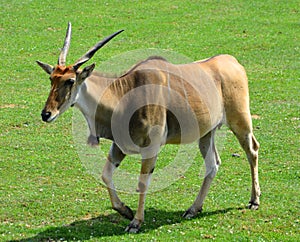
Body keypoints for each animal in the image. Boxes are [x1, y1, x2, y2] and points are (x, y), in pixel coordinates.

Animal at [37, 22, 260, 233]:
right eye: (51, 78)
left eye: (70, 80)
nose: (46, 114)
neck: (125, 93)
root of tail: (233, 62)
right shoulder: (119, 146)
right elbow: (106, 174)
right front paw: (125, 210)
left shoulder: (151, 148)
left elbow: (142, 182)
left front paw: (136, 222)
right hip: (206, 133)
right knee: (213, 165)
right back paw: (193, 209)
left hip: (240, 121)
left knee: (252, 150)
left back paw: (254, 200)